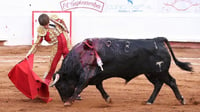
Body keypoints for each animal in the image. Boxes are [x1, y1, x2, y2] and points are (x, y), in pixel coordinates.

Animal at [51, 37, 192, 106]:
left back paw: (182, 100)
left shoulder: (86, 75)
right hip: (151, 73)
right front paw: (108, 99)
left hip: (161, 71)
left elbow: (78, 87)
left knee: (171, 82)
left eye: (60, 86)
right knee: (158, 84)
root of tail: (157, 39)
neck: (82, 54)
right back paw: (149, 101)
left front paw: (69, 102)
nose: (63, 100)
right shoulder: (96, 77)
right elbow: (100, 87)